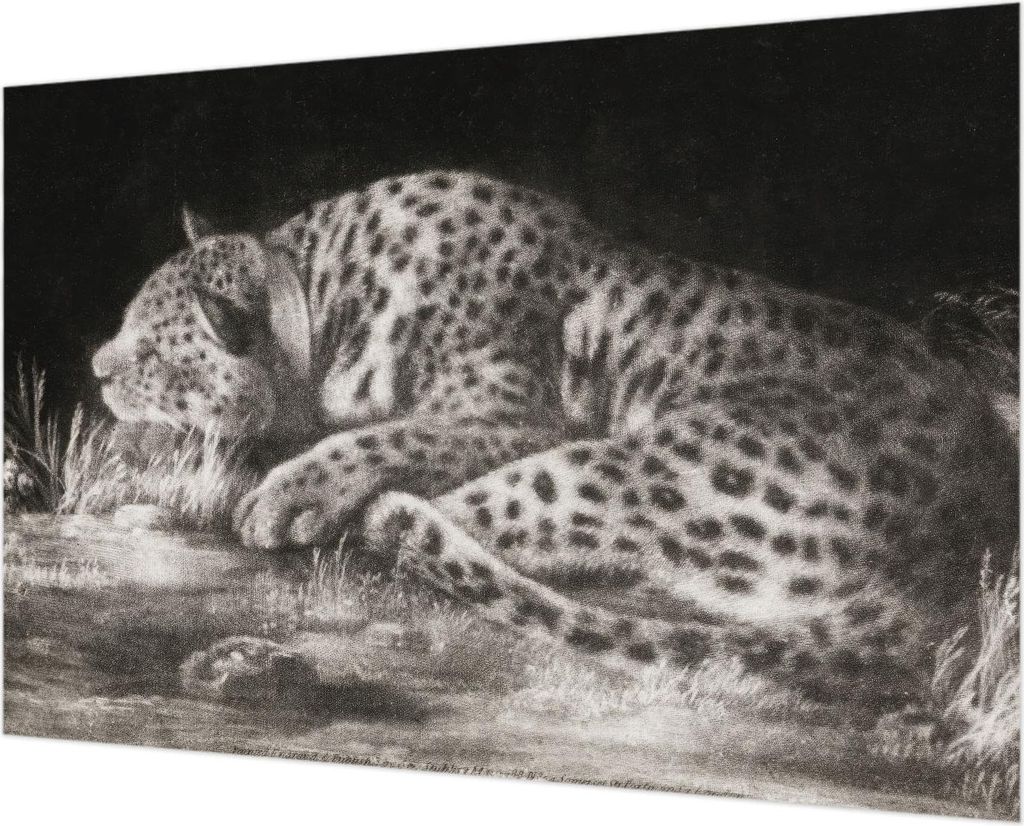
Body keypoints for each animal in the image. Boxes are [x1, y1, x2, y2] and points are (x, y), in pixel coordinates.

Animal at [92, 170, 1018, 709]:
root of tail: (949, 568)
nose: (96, 366)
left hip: (638, 461)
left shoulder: (507, 411)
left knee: (455, 526)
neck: (326, 291)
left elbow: (383, 439)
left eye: (148, 348)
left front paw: (285, 492)